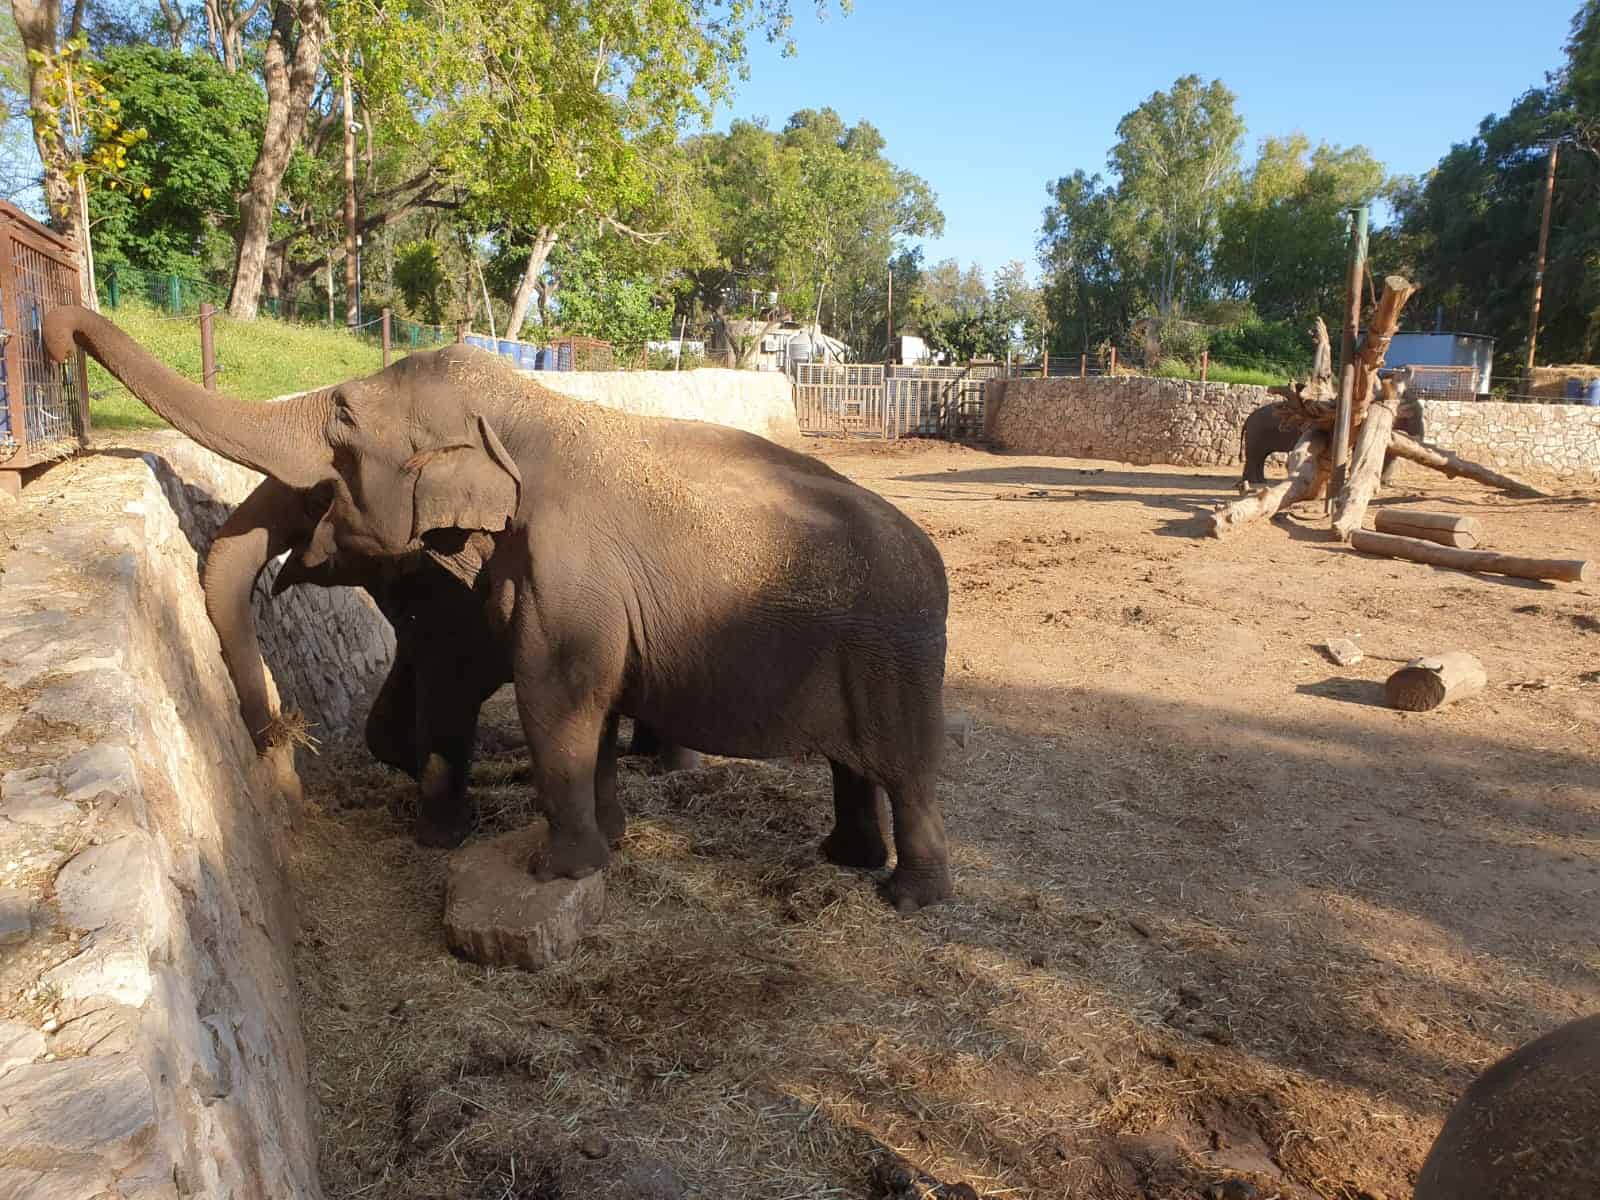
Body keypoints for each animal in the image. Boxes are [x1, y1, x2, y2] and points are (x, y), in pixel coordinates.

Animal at [203, 473, 697, 851]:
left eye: (315, 502)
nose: (273, 732)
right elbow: (386, 717)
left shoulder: (455, 609)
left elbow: (449, 691)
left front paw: (446, 831)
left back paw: (673, 768)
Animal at [1235, 396, 1427, 486]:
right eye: (1411, 416)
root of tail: (1247, 418)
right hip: (1256, 434)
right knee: (1255, 456)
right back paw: (1254, 482)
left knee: (1258, 457)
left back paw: (1257, 482)